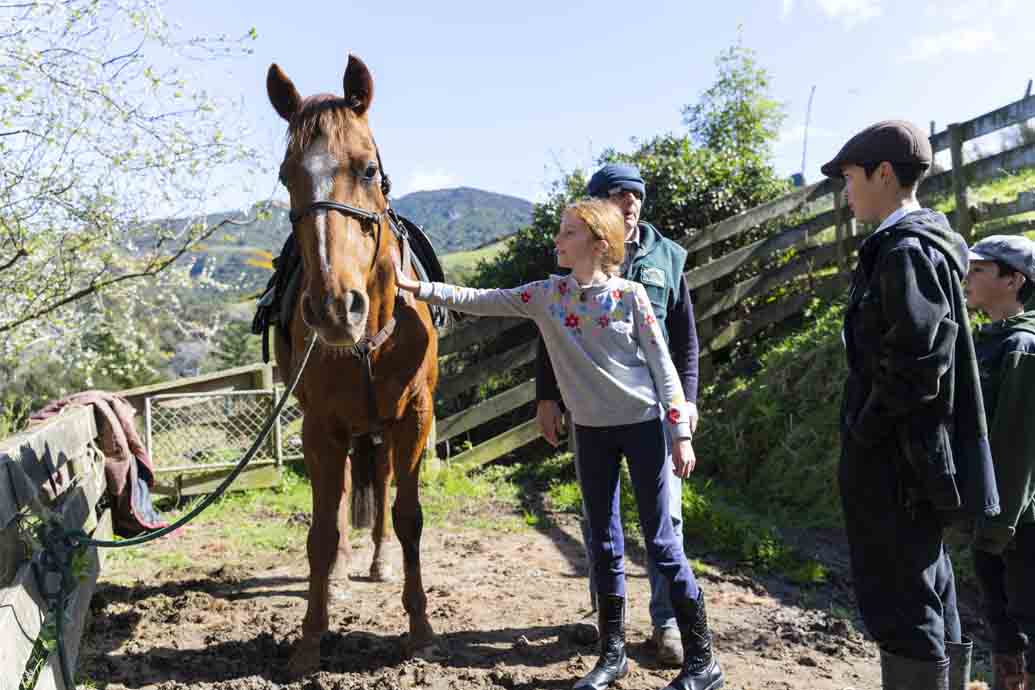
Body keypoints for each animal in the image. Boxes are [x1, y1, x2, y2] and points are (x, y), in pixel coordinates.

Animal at [264, 55, 438, 674]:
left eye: (367, 169)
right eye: (287, 176)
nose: (335, 308)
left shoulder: (413, 417)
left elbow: (409, 516)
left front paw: (420, 628)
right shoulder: (321, 426)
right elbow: (319, 531)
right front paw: (311, 638)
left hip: (381, 429)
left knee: (381, 488)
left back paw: (380, 561)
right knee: (339, 501)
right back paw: (340, 572)